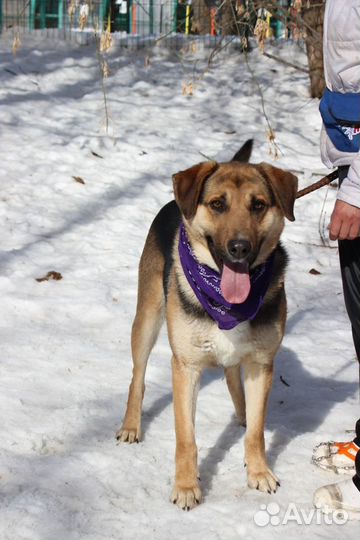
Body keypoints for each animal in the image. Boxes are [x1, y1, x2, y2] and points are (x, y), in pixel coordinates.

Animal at [116, 140, 298, 510]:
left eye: (258, 205)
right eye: (217, 204)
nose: (239, 248)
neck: (226, 303)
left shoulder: (261, 364)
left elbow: (256, 431)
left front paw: (259, 473)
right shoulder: (185, 367)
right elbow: (186, 437)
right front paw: (186, 487)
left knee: (232, 379)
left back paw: (241, 414)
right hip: (147, 319)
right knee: (137, 377)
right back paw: (131, 425)